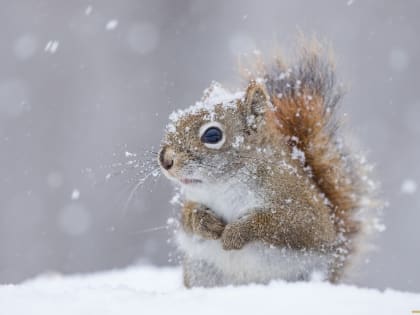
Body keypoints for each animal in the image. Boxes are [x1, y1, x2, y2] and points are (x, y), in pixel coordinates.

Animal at [157, 39, 378, 288]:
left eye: (212, 135)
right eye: (177, 120)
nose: (165, 159)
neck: (224, 185)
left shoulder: (301, 205)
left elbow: (289, 224)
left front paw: (236, 233)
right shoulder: (194, 200)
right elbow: (186, 219)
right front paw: (204, 222)